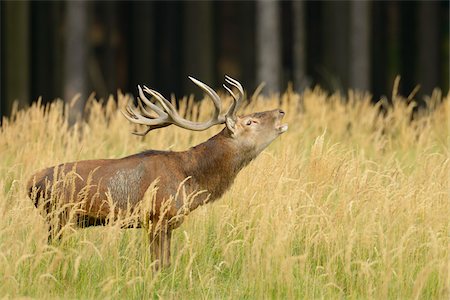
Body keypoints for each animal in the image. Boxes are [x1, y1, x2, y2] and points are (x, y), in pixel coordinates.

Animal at [27, 75, 288, 270]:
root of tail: (30, 182)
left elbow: (167, 264)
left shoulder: (168, 223)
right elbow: (157, 265)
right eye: (250, 122)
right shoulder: (155, 217)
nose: (281, 112)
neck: (191, 181)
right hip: (59, 217)